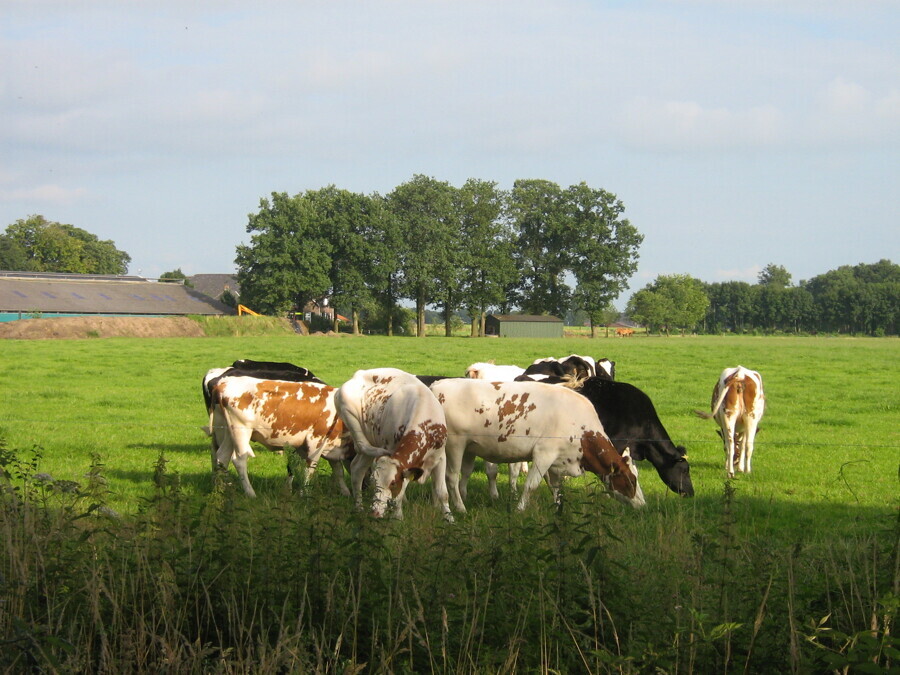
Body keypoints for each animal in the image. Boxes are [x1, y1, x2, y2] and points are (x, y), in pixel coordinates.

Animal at [208, 376, 352, 497]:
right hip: (241, 430)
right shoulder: (316, 440)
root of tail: (223, 384)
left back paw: (222, 489)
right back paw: (250, 493)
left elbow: (337, 470)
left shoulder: (317, 446)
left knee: (222, 457)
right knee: (239, 460)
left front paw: (345, 492)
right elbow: (310, 468)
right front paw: (305, 493)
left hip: (226, 431)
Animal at [335, 368, 452, 521]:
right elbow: (400, 495)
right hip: (353, 423)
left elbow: (442, 493)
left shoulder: (440, 457)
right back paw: (359, 507)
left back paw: (359, 508)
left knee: (356, 468)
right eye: (374, 483)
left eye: (393, 483)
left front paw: (449, 519)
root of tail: (358, 374)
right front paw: (398, 517)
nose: (374, 512)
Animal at [429, 378, 645, 512]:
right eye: (630, 481)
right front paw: (520, 509)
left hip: (466, 447)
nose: (643, 504)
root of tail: (438, 385)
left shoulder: (559, 461)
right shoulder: (544, 454)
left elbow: (556, 487)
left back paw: (446, 503)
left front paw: (558, 509)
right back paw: (460, 507)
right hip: (455, 445)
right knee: (451, 477)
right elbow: (531, 485)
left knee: (456, 475)